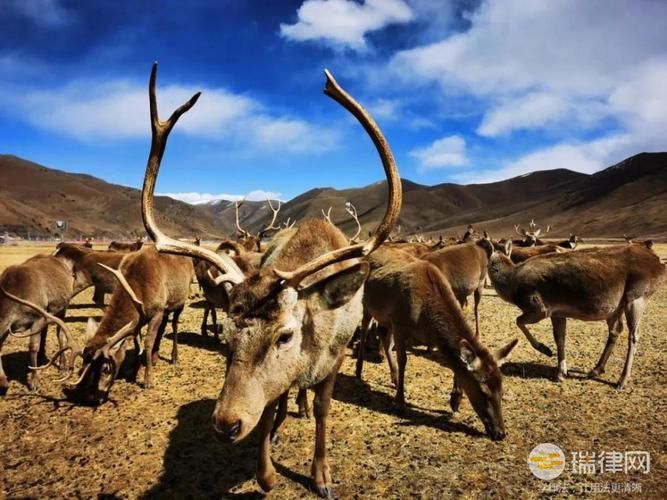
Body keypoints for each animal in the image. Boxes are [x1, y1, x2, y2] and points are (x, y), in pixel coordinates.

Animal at [0, 256, 79, 392]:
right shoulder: (7, 326)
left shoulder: (38, 317)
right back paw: (42, 355)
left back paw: (63, 366)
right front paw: (3, 381)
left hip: (63, 307)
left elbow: (33, 347)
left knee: (60, 334)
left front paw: (34, 382)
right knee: (45, 331)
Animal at [140, 63, 402, 496]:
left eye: (285, 335)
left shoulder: (336, 358)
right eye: (226, 335)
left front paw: (321, 476)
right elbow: (267, 409)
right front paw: (265, 473)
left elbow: (322, 409)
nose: (226, 423)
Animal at [362, 246, 520, 438]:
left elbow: (457, 361)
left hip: (385, 318)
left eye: (501, 390)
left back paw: (393, 377)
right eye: (483, 391)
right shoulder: (399, 323)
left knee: (384, 339)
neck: (425, 316)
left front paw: (455, 400)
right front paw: (400, 401)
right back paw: (358, 372)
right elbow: (403, 360)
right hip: (366, 305)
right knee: (364, 330)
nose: (500, 433)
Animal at [486, 240, 667, 388]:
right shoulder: (557, 311)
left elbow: (518, 320)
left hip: (637, 296)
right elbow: (559, 337)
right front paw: (561, 372)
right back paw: (596, 369)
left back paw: (622, 380)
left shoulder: (538, 307)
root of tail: (659, 264)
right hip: (615, 307)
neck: (511, 285)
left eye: (491, 264)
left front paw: (545, 350)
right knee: (616, 329)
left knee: (634, 334)